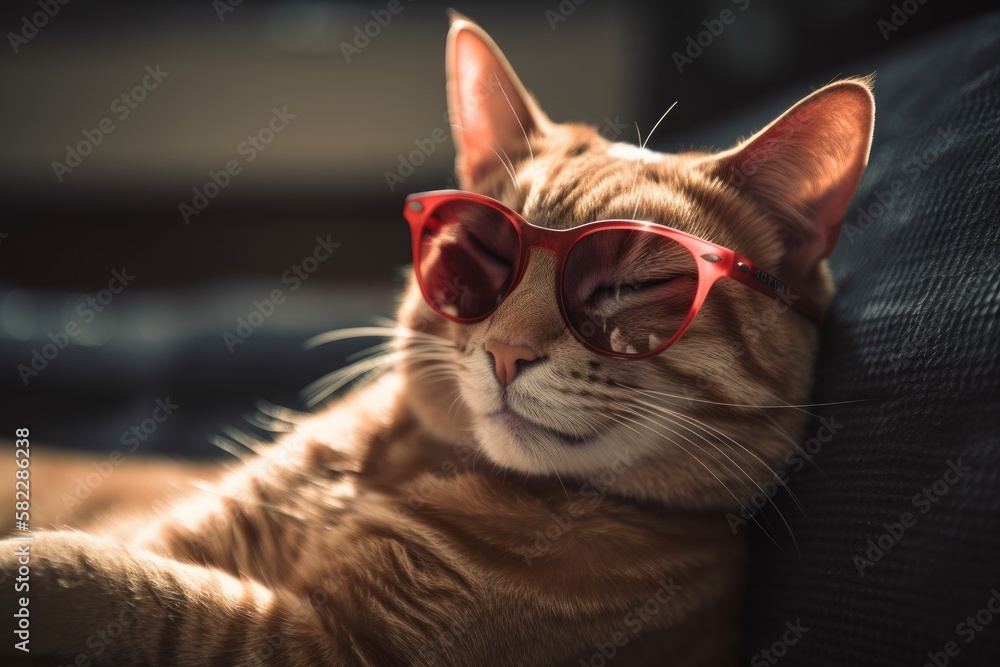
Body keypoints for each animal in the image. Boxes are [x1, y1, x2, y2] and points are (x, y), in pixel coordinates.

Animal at [3, 11, 872, 667]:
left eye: (633, 283)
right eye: (485, 248)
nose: (506, 351)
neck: (393, 470)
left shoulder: (306, 645)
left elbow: (103, 580)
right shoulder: (192, 533)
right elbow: (113, 557)